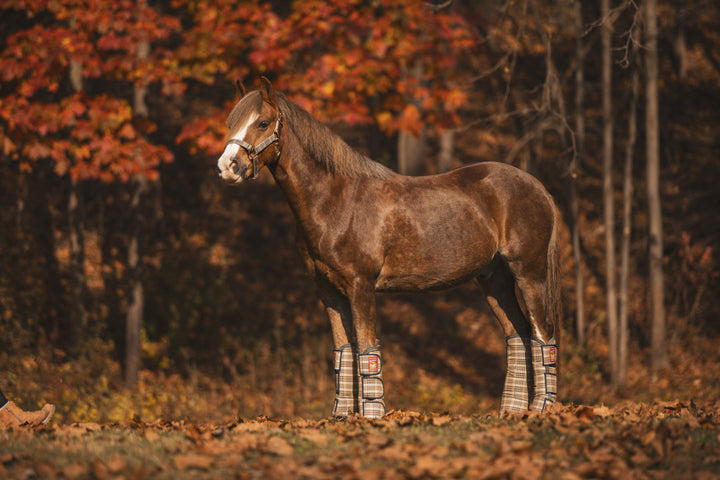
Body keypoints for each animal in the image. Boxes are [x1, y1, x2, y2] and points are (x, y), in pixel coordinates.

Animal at [215, 78, 564, 416]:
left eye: (262, 122)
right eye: (231, 122)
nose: (227, 167)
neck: (334, 200)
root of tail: (537, 186)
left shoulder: (361, 286)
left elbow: (367, 351)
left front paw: (371, 418)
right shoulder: (328, 290)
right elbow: (343, 352)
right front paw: (343, 417)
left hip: (530, 274)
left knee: (543, 335)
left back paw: (540, 410)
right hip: (494, 281)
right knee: (518, 333)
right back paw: (511, 413)